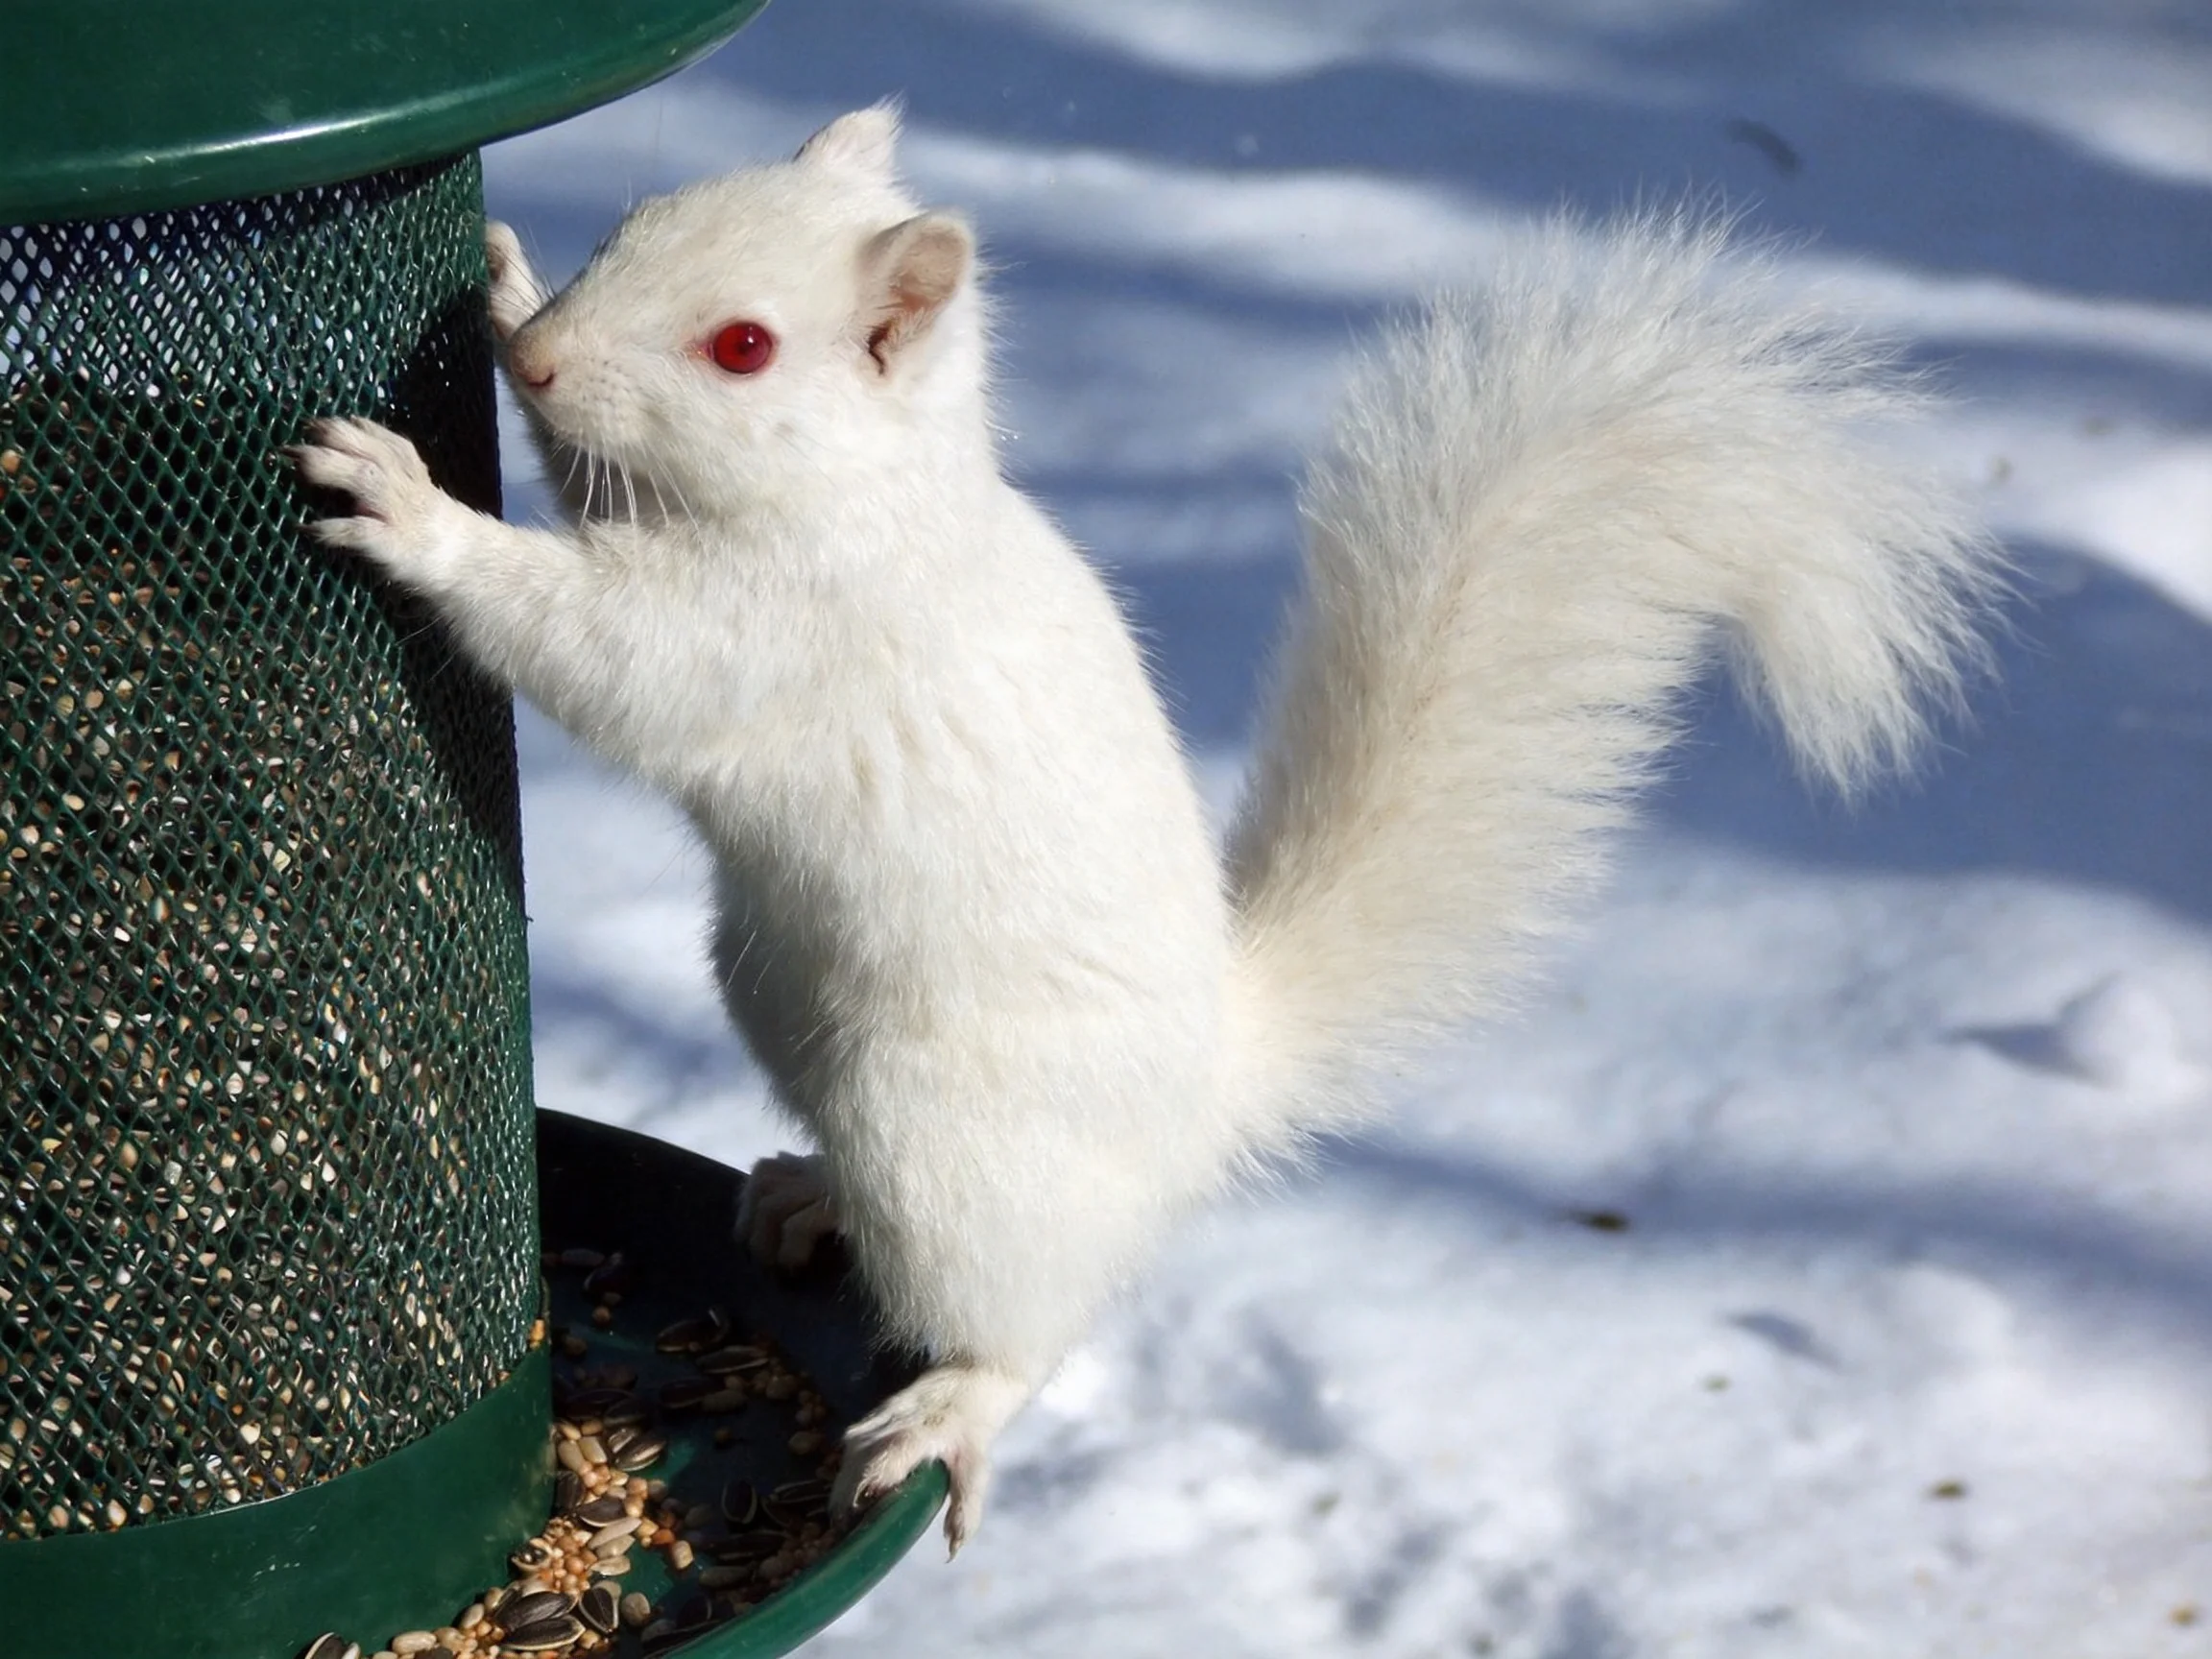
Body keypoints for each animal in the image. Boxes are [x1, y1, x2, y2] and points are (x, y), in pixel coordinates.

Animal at [291, 104, 1999, 1554]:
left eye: (745, 347)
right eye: (632, 224)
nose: (542, 359)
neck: (871, 490)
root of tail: (1208, 1095)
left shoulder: (779, 628)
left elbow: (603, 650)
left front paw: (411, 508)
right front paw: (503, 288)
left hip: (949, 1127)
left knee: (1029, 1320)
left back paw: (953, 1404)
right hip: (776, 992)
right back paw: (803, 1199)